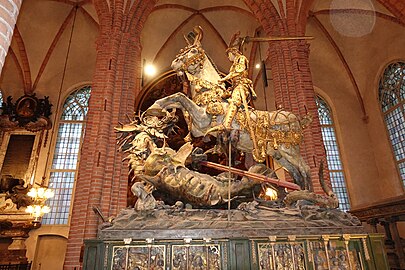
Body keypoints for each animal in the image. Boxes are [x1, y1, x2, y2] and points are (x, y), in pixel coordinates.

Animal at [147, 26, 310, 189]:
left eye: (193, 51)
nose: (174, 63)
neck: (209, 91)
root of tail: (296, 120)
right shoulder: (197, 128)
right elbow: (178, 100)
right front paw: (159, 110)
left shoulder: (202, 119)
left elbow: (180, 96)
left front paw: (156, 108)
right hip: (280, 154)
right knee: (297, 173)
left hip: (290, 151)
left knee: (305, 169)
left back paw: (307, 192)